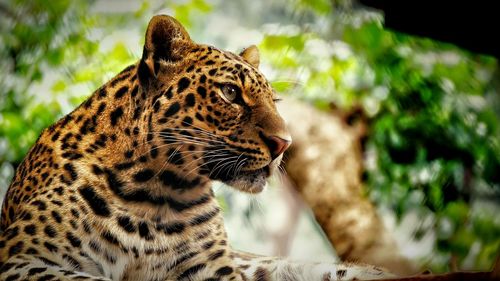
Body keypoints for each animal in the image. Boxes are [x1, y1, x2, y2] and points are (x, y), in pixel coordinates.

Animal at [0, 15, 394, 280]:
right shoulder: (24, 259)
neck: (154, 194)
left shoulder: (209, 269)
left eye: (274, 101)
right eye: (230, 93)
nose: (284, 144)